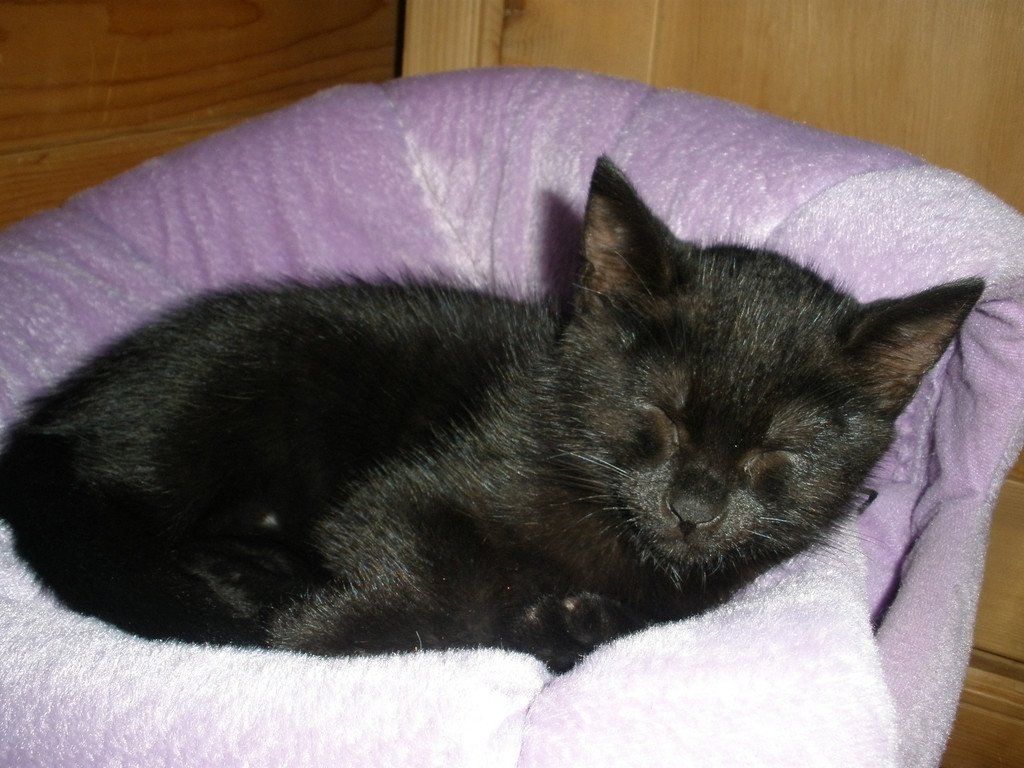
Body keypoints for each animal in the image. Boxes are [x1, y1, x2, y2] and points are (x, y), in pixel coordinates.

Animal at [0, 157, 983, 672]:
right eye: (658, 415)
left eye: (775, 454)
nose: (694, 509)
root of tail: (55, 422)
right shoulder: (408, 499)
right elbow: (446, 596)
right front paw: (317, 635)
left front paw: (567, 622)